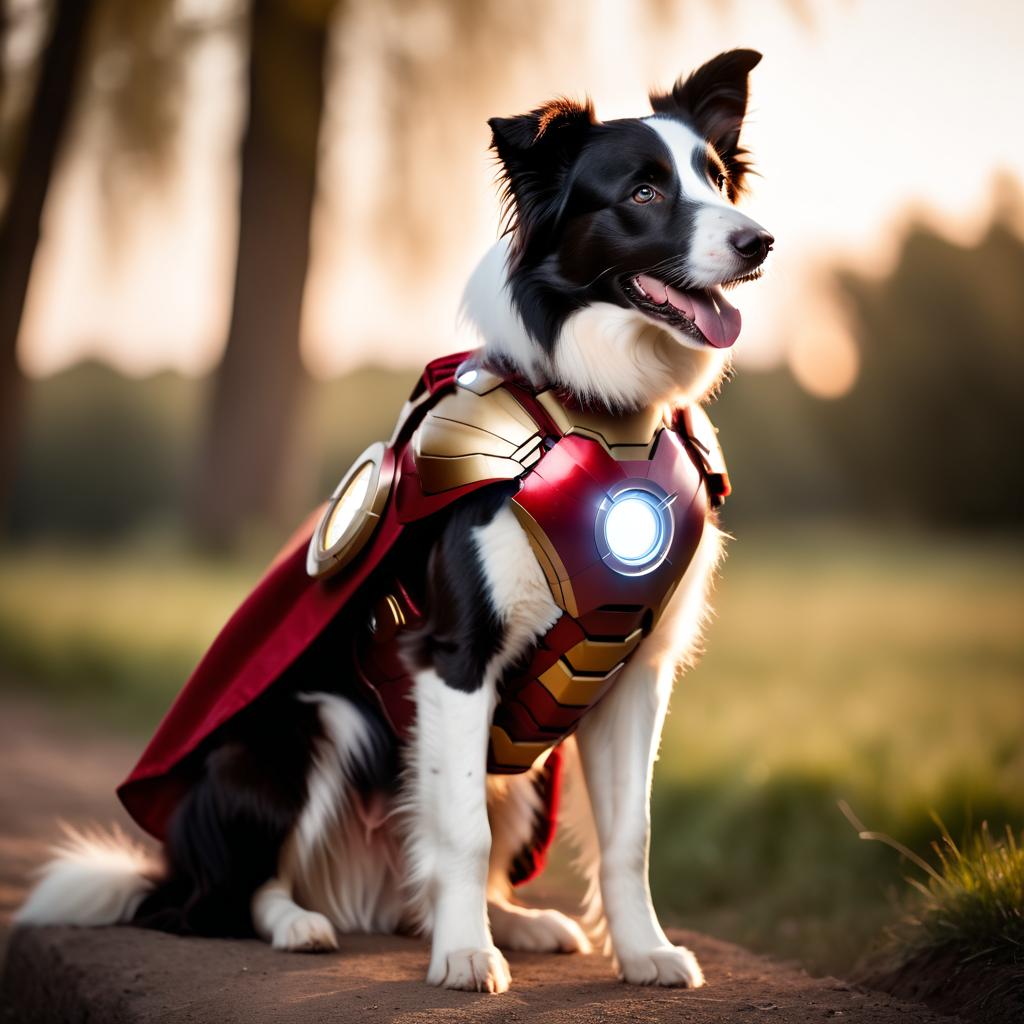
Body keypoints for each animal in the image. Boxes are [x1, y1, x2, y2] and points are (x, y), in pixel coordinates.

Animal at [18, 48, 770, 991]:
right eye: (642, 191)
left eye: (717, 180)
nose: (758, 241)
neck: (600, 411)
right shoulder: (454, 656)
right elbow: (461, 832)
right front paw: (464, 958)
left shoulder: (638, 671)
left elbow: (628, 835)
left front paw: (643, 953)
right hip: (300, 733)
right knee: (231, 897)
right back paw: (304, 923)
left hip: (522, 772)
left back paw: (511, 921)